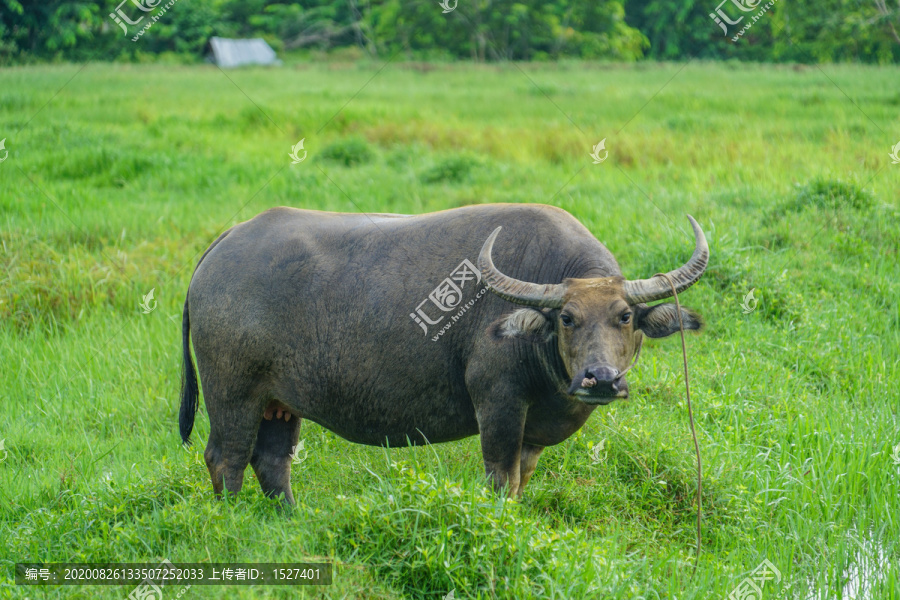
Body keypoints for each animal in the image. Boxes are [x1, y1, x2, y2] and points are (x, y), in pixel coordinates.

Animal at [179, 204, 708, 504]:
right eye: (567, 318)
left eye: (624, 316)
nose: (600, 378)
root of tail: (225, 244)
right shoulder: (498, 406)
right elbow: (502, 481)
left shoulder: (532, 434)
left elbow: (523, 479)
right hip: (232, 393)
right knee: (225, 458)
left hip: (279, 403)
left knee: (271, 460)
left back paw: (286, 518)